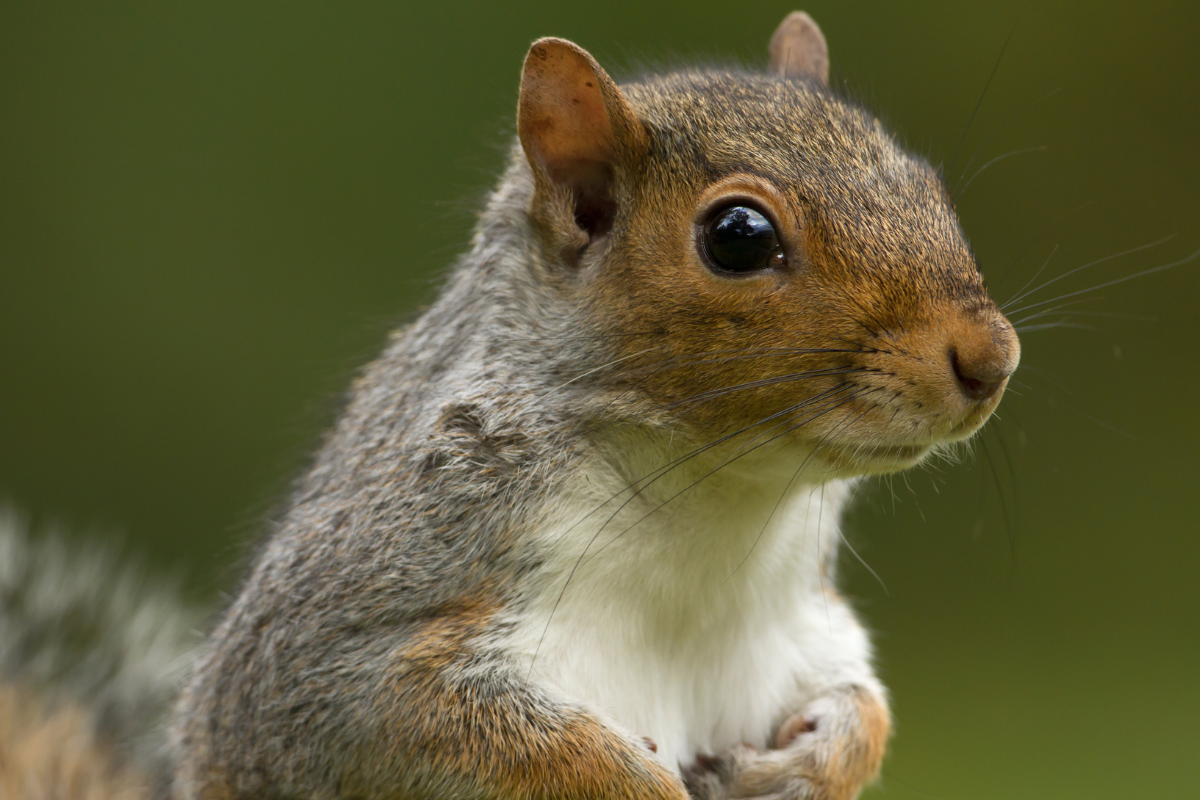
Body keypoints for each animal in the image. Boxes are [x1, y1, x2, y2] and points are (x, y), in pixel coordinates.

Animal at [0, 11, 1019, 800]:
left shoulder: (800, 628)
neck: (712, 506)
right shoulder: (352, 624)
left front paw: (821, 760)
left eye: (923, 181)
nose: (991, 357)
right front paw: (634, 783)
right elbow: (379, 708)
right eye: (738, 236)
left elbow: (862, 700)